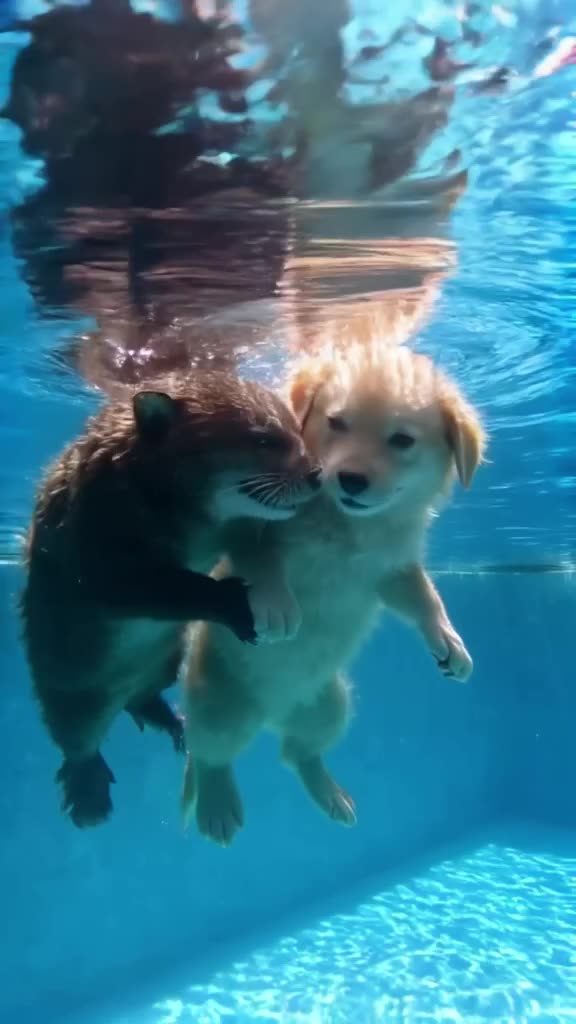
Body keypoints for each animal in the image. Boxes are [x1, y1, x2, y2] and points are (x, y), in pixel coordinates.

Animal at [20, 370, 320, 828]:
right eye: (264, 438)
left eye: (296, 430)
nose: (317, 474)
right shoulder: (97, 527)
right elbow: (133, 586)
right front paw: (238, 607)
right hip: (71, 686)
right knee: (77, 738)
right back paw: (89, 794)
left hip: (164, 662)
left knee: (141, 696)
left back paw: (169, 722)